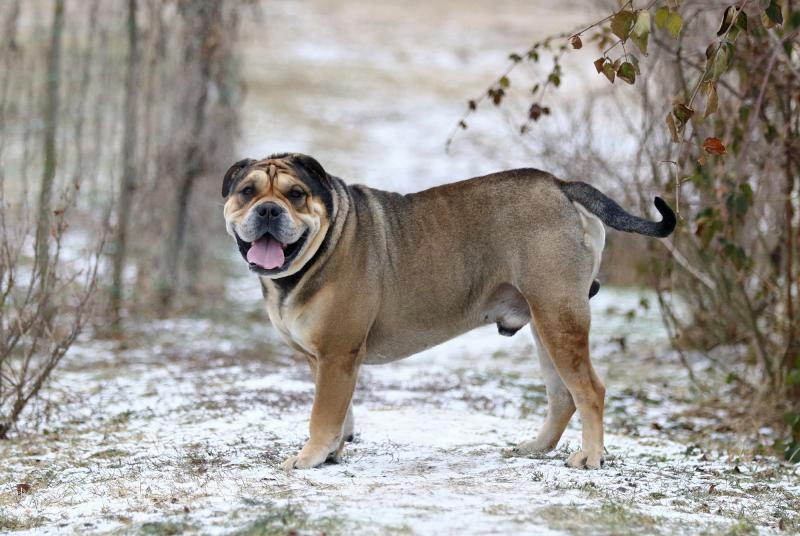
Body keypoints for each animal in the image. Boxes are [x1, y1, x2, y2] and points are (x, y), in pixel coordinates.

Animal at [220, 153, 676, 472]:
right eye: (247, 192)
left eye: (296, 194)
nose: (268, 209)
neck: (325, 241)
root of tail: (561, 185)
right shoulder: (326, 360)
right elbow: (339, 413)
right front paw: (332, 454)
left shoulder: (337, 354)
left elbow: (322, 414)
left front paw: (309, 457)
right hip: (547, 322)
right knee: (563, 393)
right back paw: (536, 447)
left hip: (559, 315)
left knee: (589, 390)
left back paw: (590, 458)